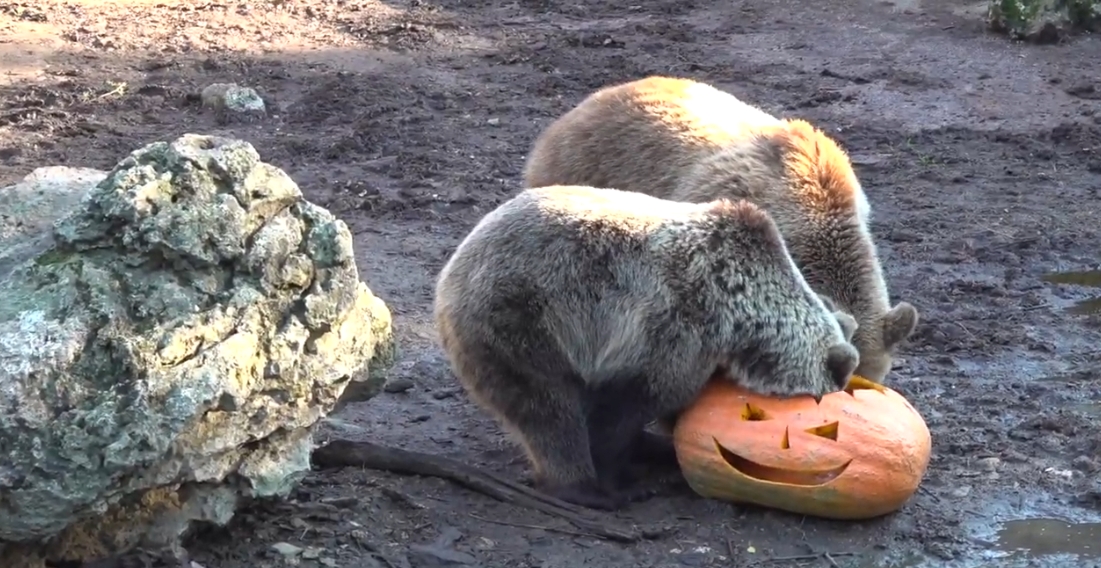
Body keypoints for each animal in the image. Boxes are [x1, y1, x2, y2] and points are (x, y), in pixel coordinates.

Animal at [433, 184, 863, 510]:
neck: (743, 312)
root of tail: (449, 273)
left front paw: (657, 449)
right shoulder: (674, 331)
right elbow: (630, 407)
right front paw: (622, 475)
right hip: (525, 322)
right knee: (548, 408)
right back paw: (585, 489)